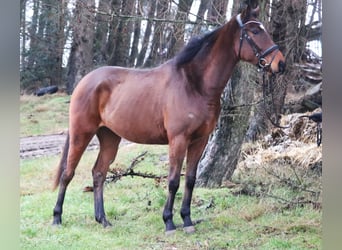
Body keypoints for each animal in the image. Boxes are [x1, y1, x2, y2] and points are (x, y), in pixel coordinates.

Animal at [51, 2, 286, 234]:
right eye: (254, 31)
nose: (280, 64)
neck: (194, 85)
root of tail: (86, 81)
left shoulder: (199, 141)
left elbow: (190, 180)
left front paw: (187, 221)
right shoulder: (178, 139)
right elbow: (173, 181)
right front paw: (169, 222)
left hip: (110, 137)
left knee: (99, 173)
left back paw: (103, 220)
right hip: (81, 133)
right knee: (67, 173)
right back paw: (57, 218)